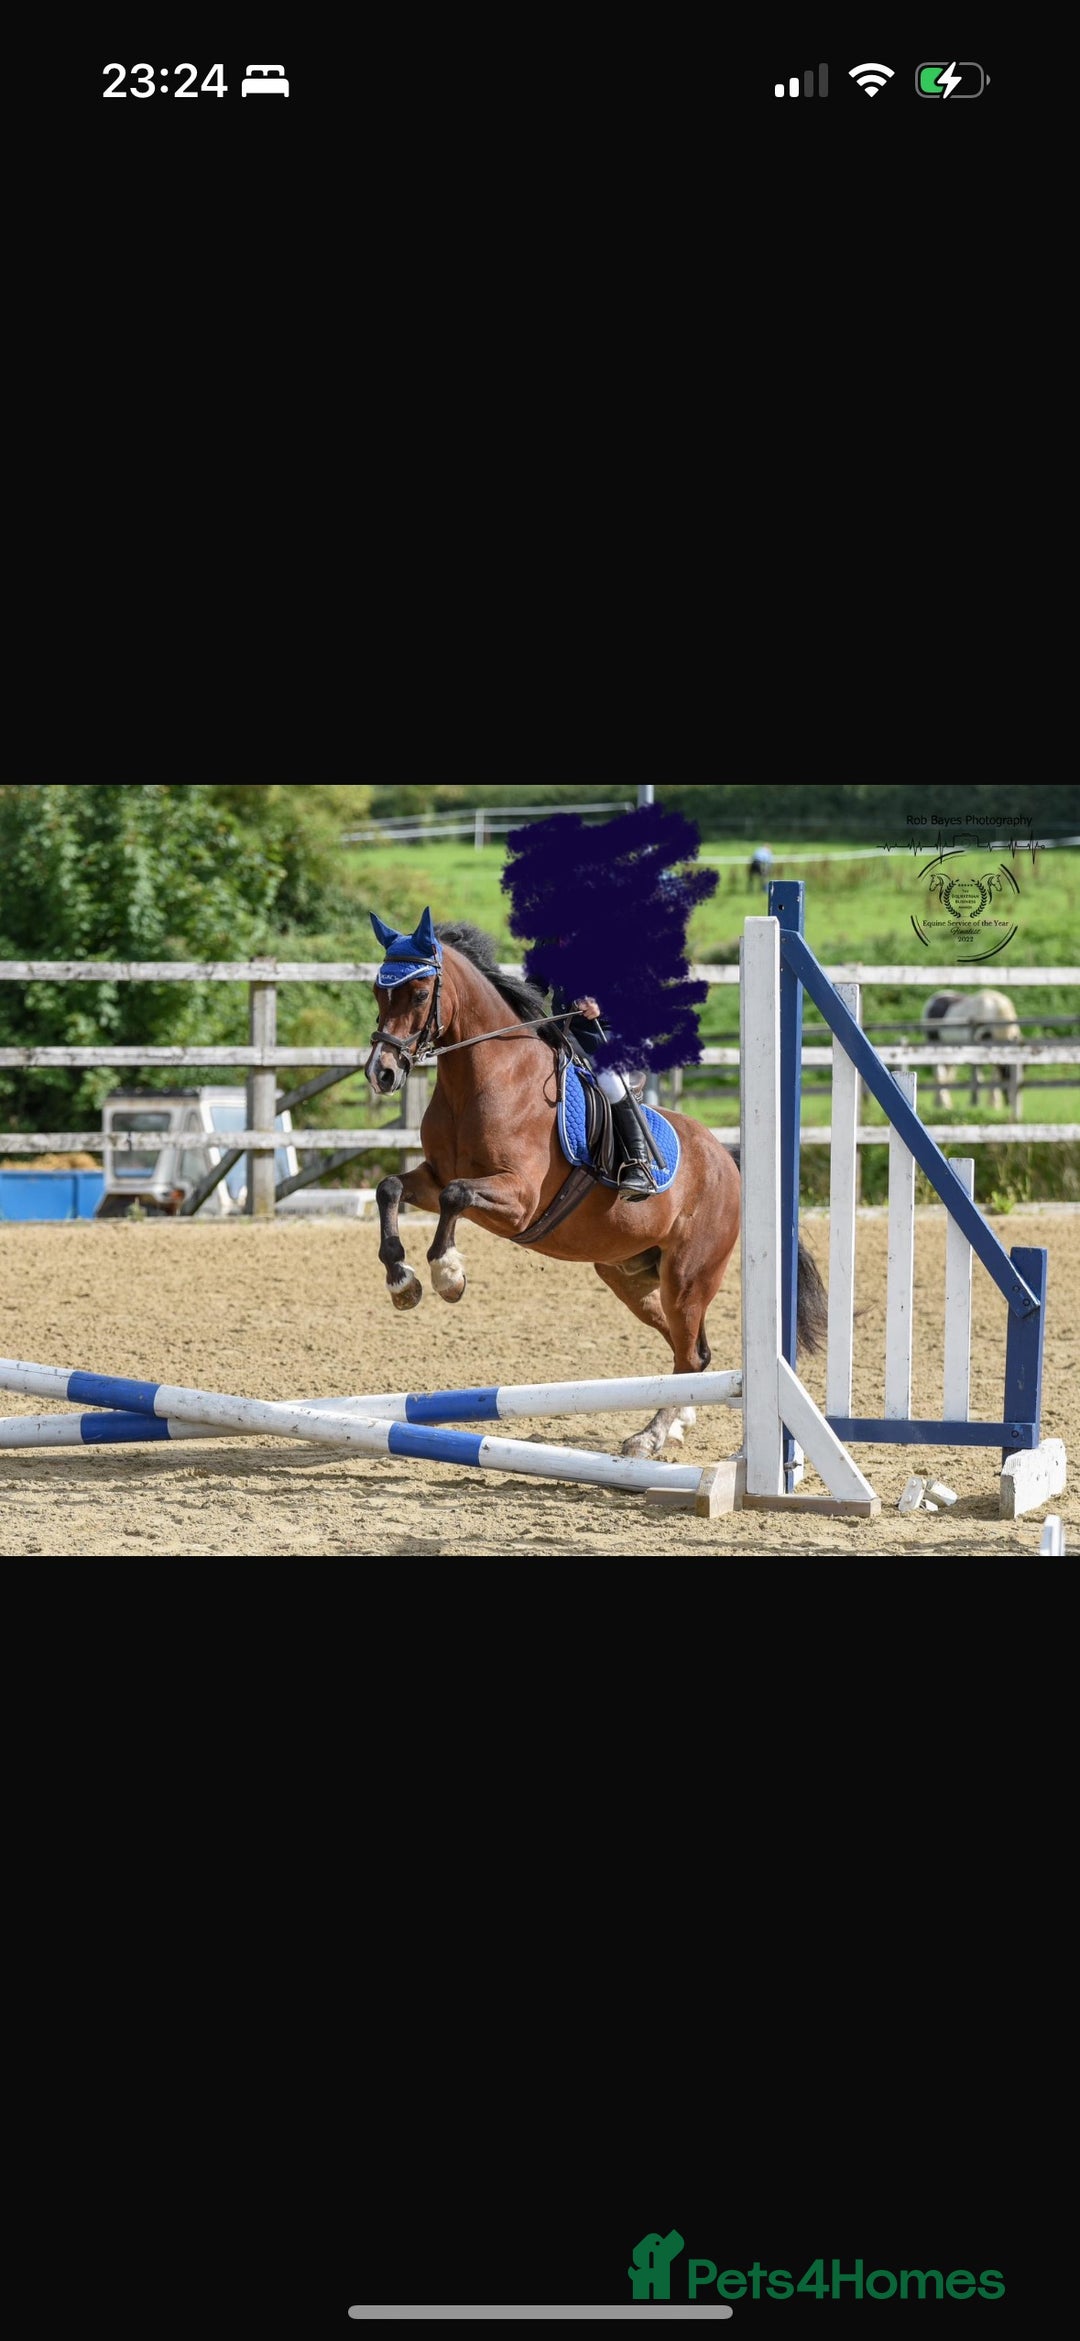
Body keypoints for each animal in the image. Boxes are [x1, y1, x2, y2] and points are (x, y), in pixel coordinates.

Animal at [365, 915, 828, 1463]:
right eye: (378, 991)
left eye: (418, 993)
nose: (381, 1073)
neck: (481, 1078)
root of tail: (727, 1159)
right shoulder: (433, 1176)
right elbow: (390, 1188)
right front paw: (402, 1281)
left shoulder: (518, 1199)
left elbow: (456, 1196)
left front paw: (447, 1275)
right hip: (631, 1278)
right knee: (689, 1350)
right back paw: (676, 1421)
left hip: (688, 1277)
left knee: (690, 1352)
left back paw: (649, 1437)